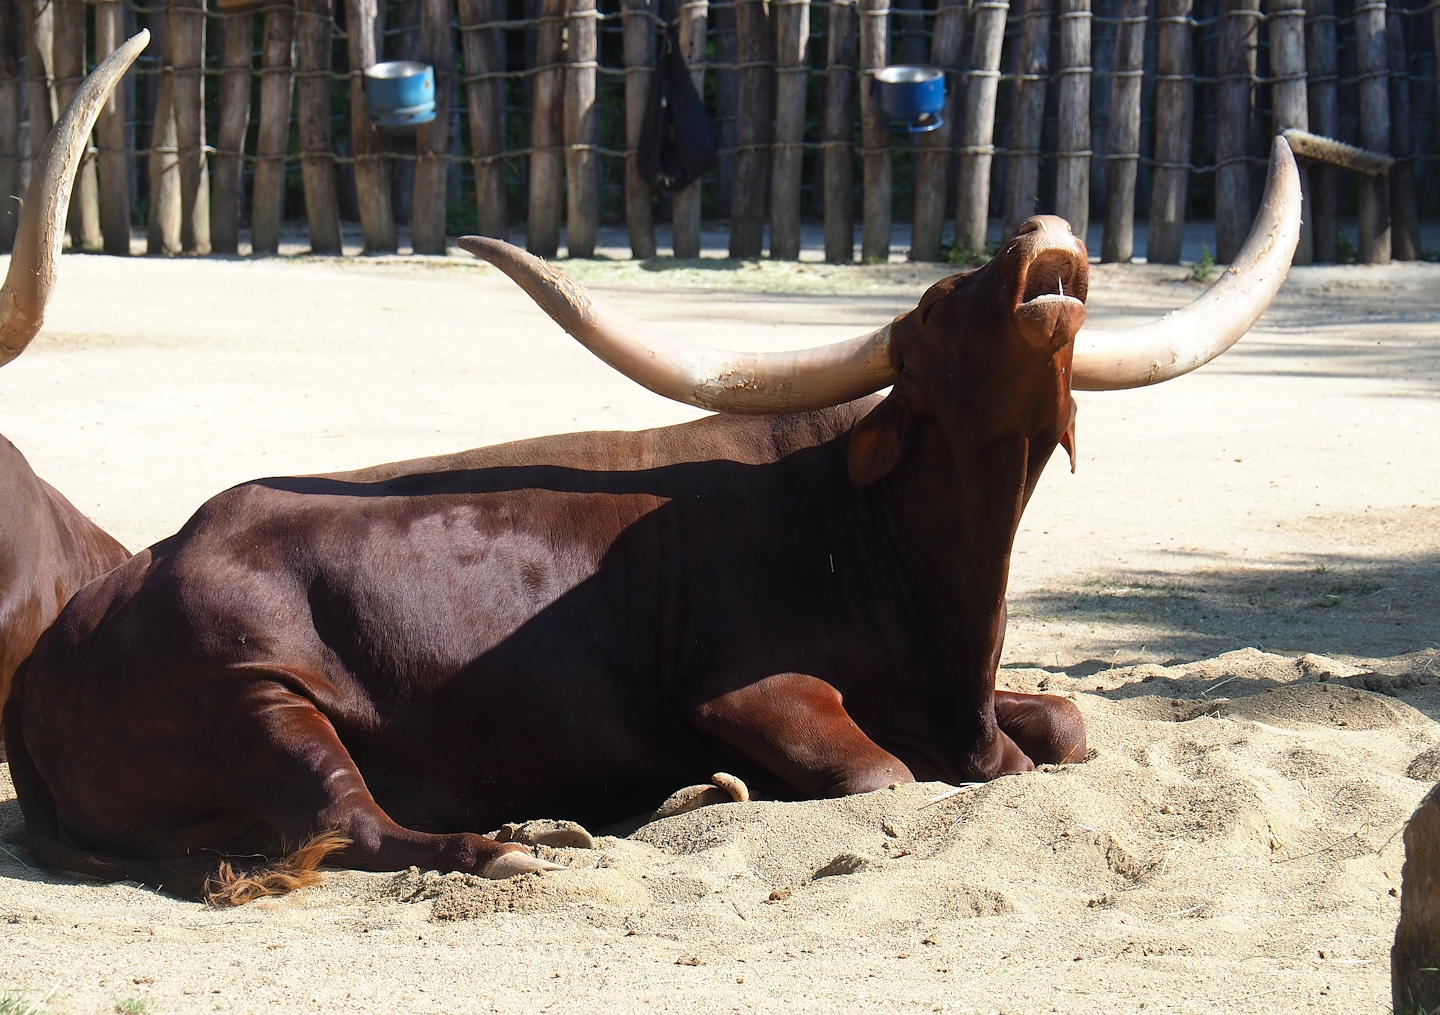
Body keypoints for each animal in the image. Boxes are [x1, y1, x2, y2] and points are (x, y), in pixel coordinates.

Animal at [5, 134, 1301, 904]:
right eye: (940, 299)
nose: (1045, 234)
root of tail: (68, 638)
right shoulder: (747, 689)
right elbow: (884, 776)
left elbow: (1066, 728)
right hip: (262, 700)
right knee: (352, 821)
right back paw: (521, 840)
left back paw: (677, 802)